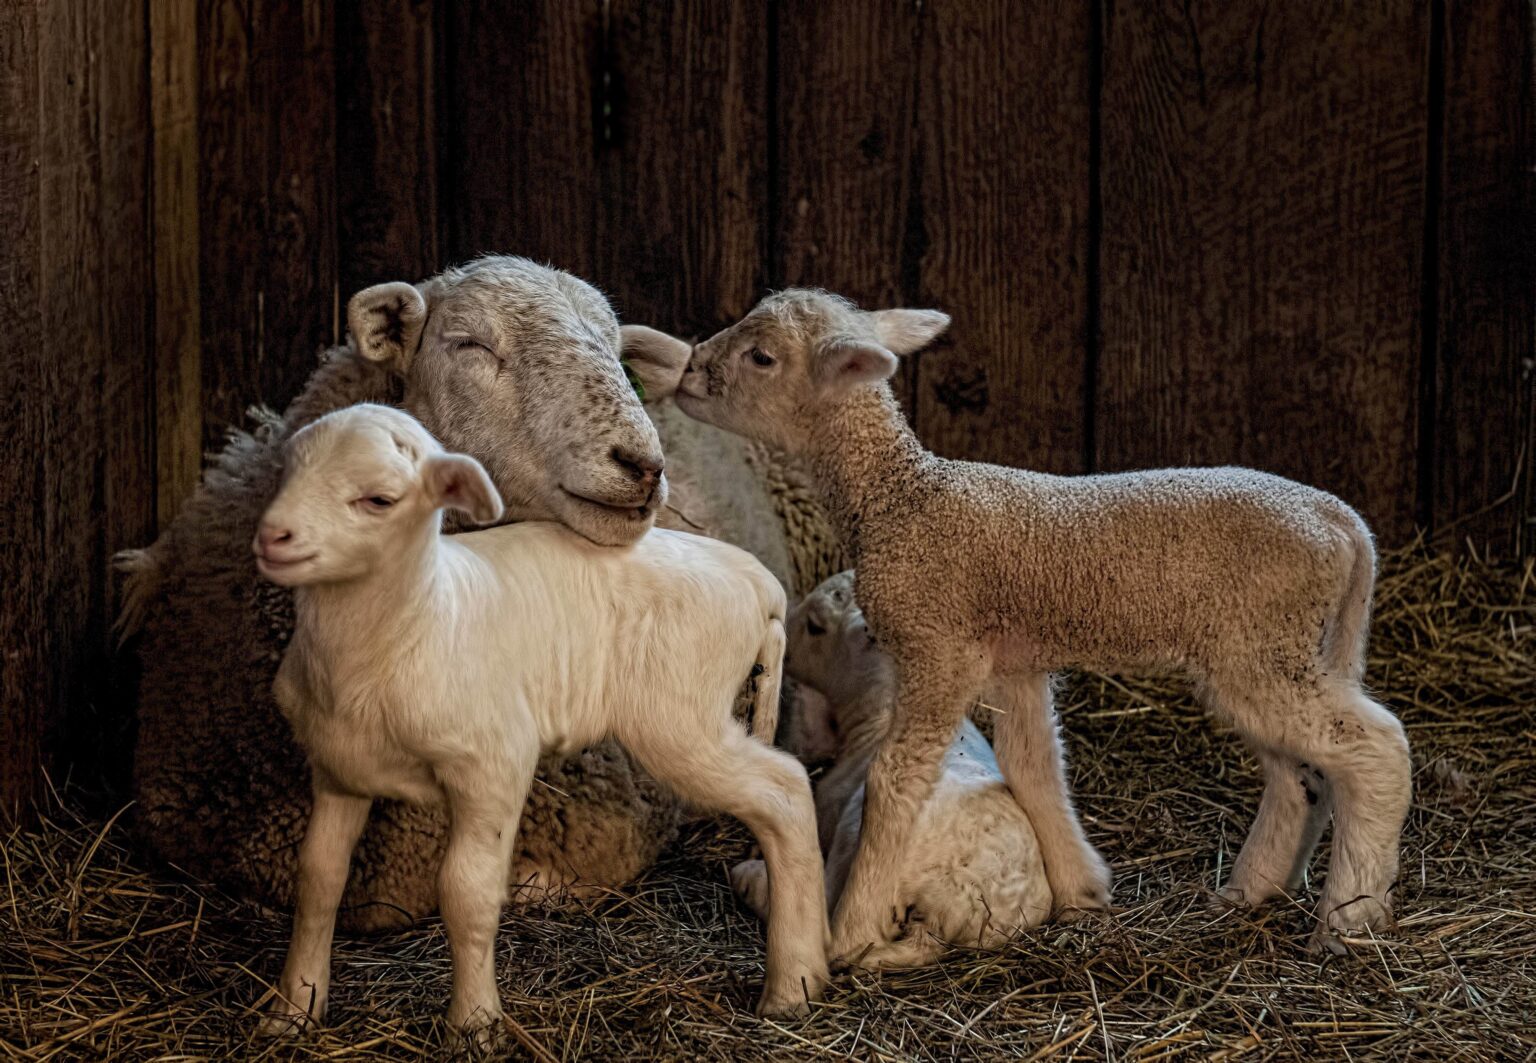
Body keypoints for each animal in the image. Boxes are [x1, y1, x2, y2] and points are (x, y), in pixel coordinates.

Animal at [253, 403, 828, 1040]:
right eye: (289, 473)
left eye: (379, 499)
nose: (273, 537)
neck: (414, 621)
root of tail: (760, 582)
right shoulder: (338, 770)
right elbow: (318, 881)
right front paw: (293, 1010)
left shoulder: (493, 765)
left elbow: (467, 892)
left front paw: (474, 1023)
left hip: (682, 716)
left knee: (785, 792)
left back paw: (793, 987)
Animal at [730, 571, 1052, 969]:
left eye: (816, 626)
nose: (785, 647)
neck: (879, 705)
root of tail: (951, 907)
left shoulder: (831, 805)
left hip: (856, 842)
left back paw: (749, 879)